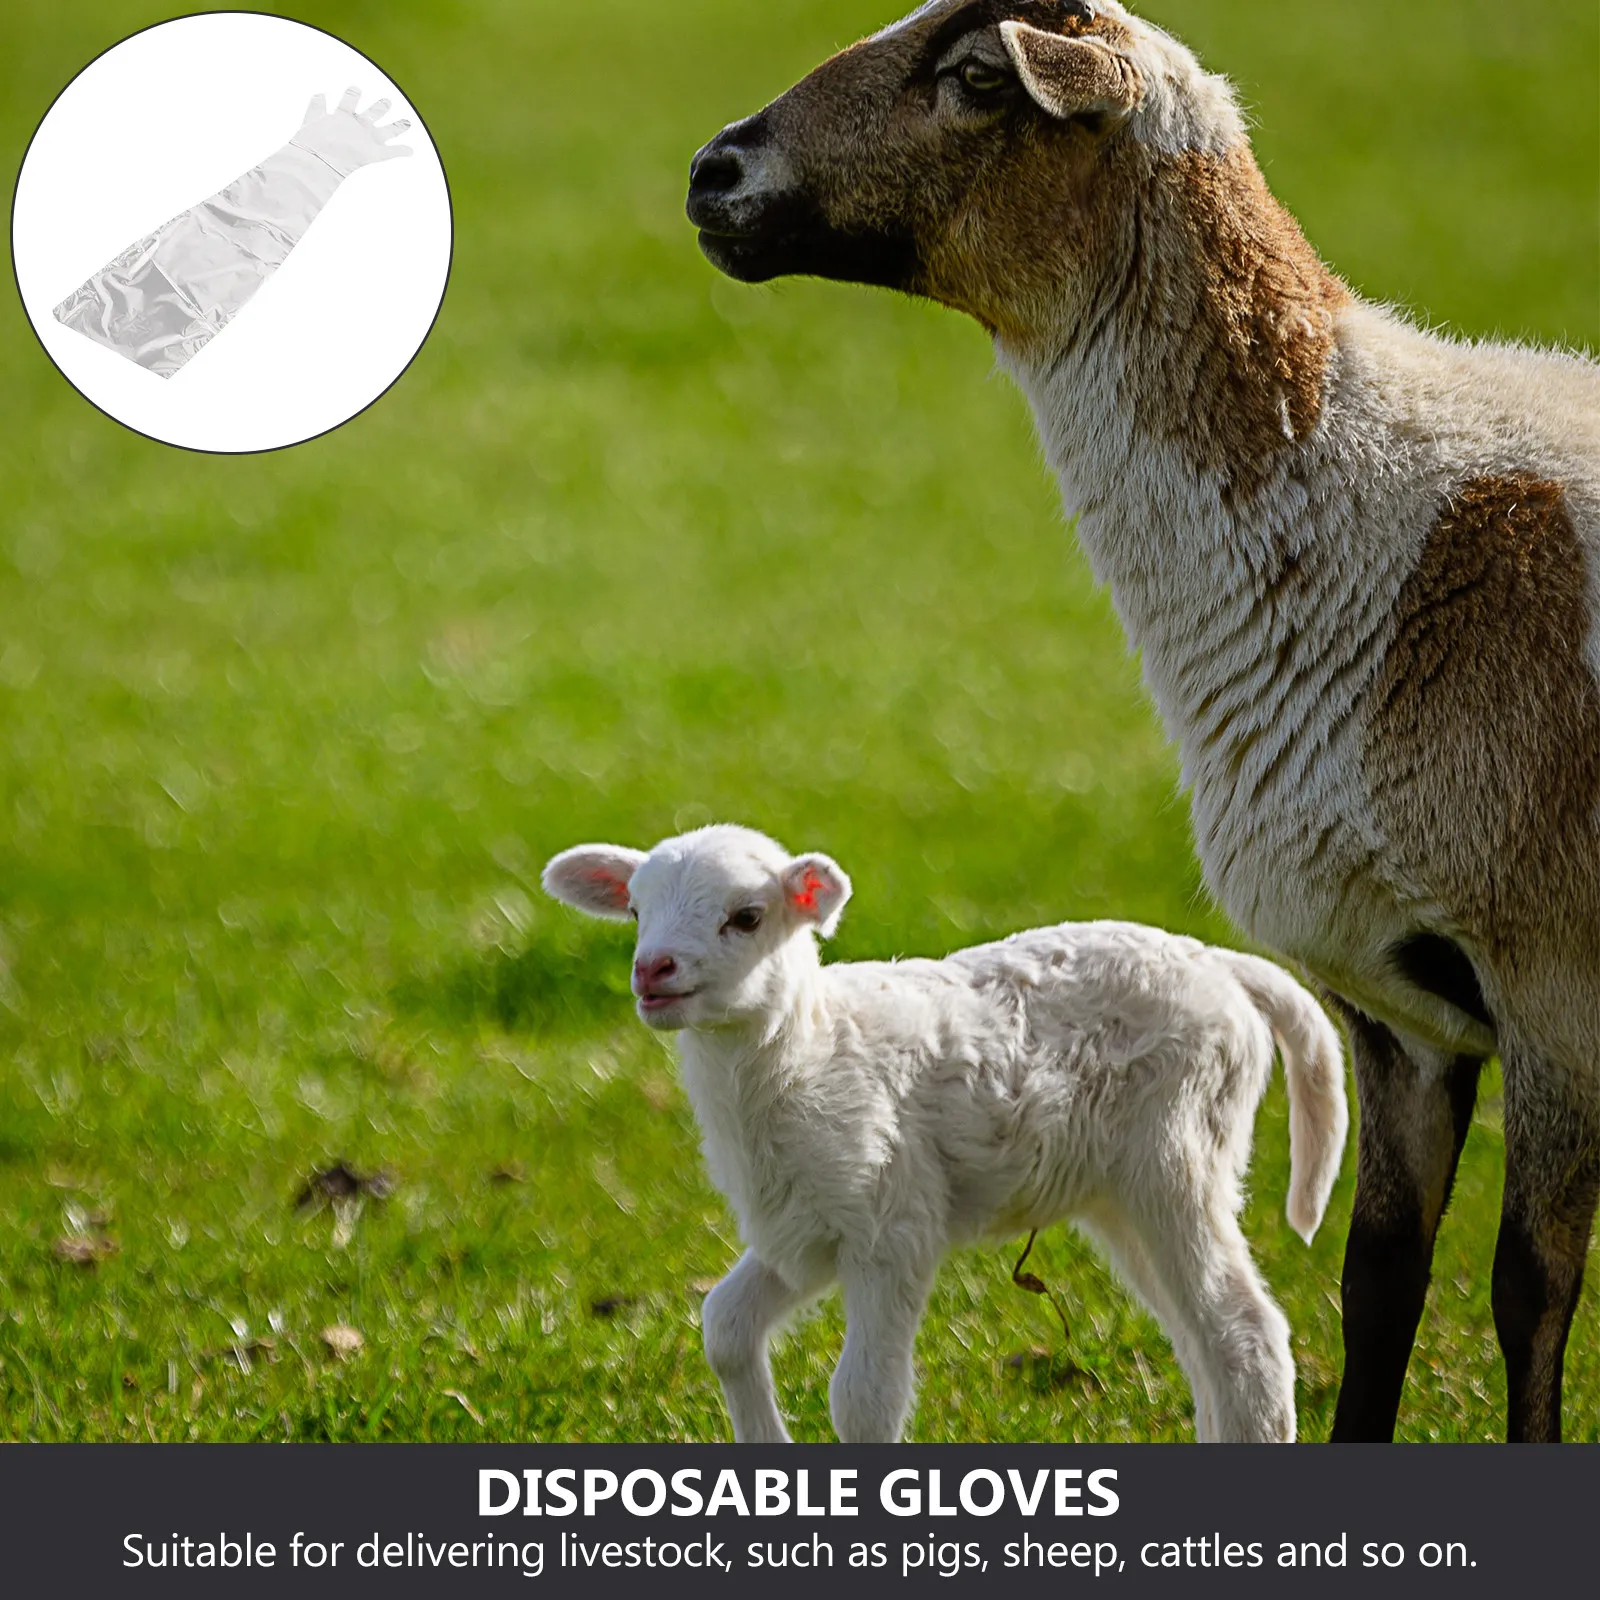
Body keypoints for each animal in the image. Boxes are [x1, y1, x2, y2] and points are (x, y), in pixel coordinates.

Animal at [543, 823, 1347, 1443]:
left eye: (746, 917)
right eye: (635, 910)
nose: (653, 970)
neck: (810, 1052)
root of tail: (1222, 965)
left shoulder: (891, 1221)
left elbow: (864, 1400)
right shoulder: (803, 1227)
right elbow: (726, 1329)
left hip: (1179, 1153)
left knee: (1247, 1332)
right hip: (1120, 1192)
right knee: (1200, 1340)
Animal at [684, 0, 1600, 1442]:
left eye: (977, 76)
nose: (712, 174)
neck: (1380, 527)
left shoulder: (1553, 979)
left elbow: (1528, 1288)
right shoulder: (1398, 1004)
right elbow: (1379, 1278)